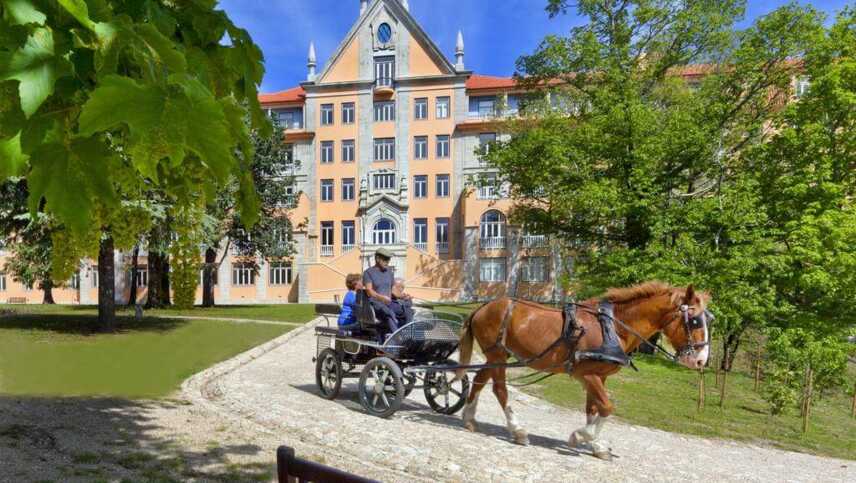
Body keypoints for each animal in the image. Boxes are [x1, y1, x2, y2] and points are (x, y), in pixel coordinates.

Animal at [458, 284, 712, 462]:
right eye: (695, 321)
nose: (701, 360)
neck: (613, 328)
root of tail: (482, 307)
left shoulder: (599, 376)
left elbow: (593, 409)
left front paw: (597, 445)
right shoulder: (587, 375)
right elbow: (607, 407)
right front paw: (581, 436)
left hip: (494, 357)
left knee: (479, 381)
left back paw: (469, 418)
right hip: (498, 356)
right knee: (500, 389)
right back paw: (518, 430)